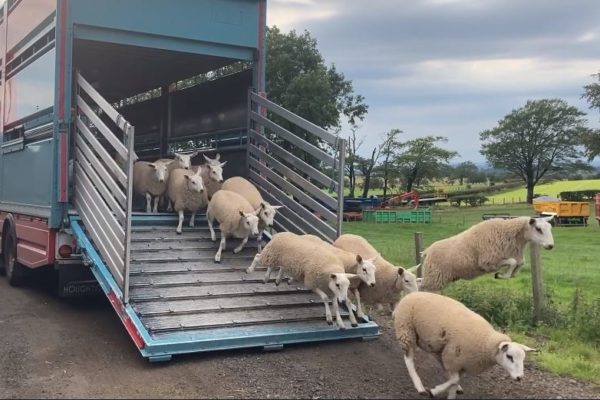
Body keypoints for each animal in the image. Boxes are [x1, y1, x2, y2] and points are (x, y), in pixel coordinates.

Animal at [394, 290, 536, 400]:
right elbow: (454, 379)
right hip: (406, 330)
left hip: (436, 346)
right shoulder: (454, 358)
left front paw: (451, 392)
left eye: (523, 359)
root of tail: (411, 294)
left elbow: (455, 380)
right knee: (409, 360)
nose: (519, 378)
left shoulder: (460, 362)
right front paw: (434, 391)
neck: (486, 341)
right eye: (509, 356)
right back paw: (419, 386)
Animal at [420, 216, 556, 290]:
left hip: (439, 278)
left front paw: (508, 274)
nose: (551, 246)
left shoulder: (515, 257)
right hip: (434, 278)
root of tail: (427, 251)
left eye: (550, 227)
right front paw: (500, 275)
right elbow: (512, 262)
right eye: (538, 229)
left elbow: (519, 264)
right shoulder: (488, 262)